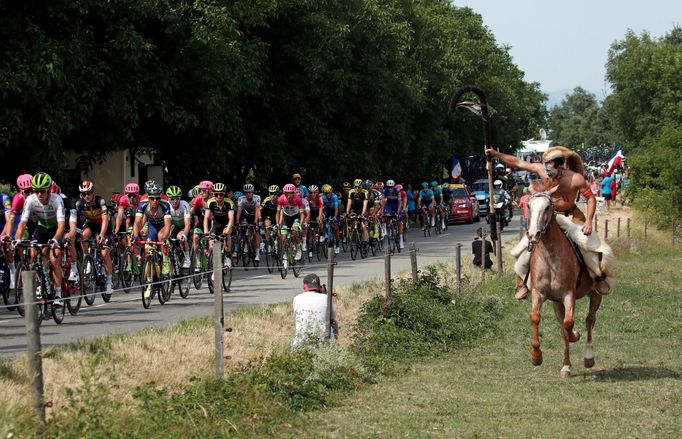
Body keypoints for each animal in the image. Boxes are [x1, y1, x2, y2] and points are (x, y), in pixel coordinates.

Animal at [524, 185, 600, 378]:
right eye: (529, 206)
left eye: (547, 207)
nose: (533, 234)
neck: (550, 256)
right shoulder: (539, 293)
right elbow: (536, 318)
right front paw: (536, 357)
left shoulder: (568, 294)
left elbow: (569, 324)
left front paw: (576, 335)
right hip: (556, 302)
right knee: (564, 326)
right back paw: (566, 364)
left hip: (595, 294)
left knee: (589, 320)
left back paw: (588, 357)